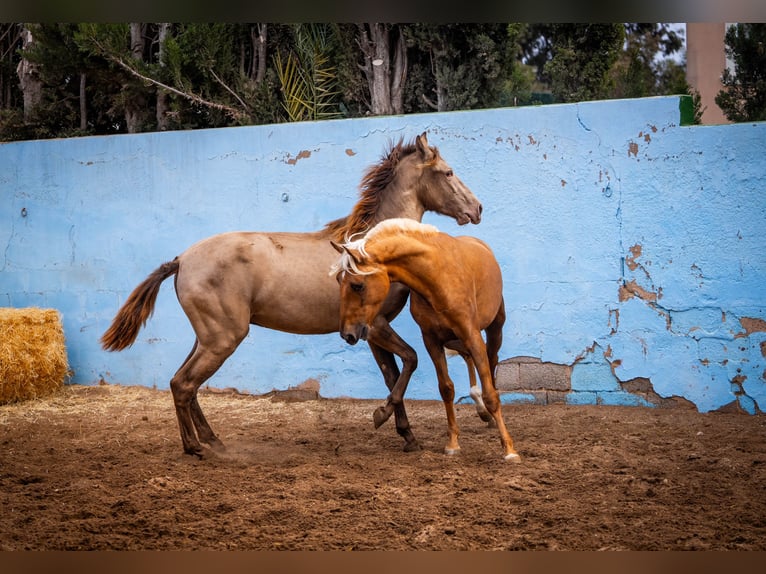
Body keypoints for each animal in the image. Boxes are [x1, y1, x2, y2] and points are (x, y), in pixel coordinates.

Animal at [100, 133, 486, 456]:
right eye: (449, 172)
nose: (477, 209)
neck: (374, 248)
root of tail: (181, 259)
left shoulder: (371, 331)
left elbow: (394, 374)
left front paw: (407, 435)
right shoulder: (376, 326)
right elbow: (411, 360)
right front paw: (382, 416)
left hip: (207, 337)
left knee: (183, 383)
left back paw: (212, 440)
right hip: (223, 338)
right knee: (183, 384)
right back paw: (196, 448)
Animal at [332, 217, 520, 464]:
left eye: (357, 285)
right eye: (338, 280)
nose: (347, 334)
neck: (437, 277)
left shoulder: (471, 333)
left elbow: (491, 393)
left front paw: (509, 449)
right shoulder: (432, 340)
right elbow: (446, 389)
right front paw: (452, 443)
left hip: (493, 329)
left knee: (492, 361)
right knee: (468, 357)